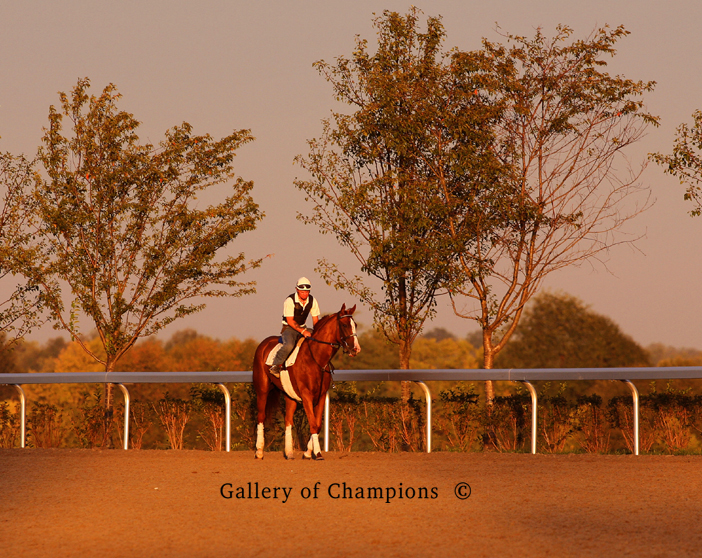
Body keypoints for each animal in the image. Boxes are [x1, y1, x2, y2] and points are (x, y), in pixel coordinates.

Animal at [254, 304, 364, 462]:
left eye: (355, 325)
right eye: (344, 325)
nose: (356, 349)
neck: (316, 359)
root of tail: (263, 344)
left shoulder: (321, 395)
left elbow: (317, 425)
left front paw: (307, 453)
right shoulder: (306, 395)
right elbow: (312, 423)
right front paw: (317, 454)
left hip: (290, 395)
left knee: (288, 420)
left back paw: (289, 453)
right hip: (262, 389)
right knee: (261, 417)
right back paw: (259, 452)